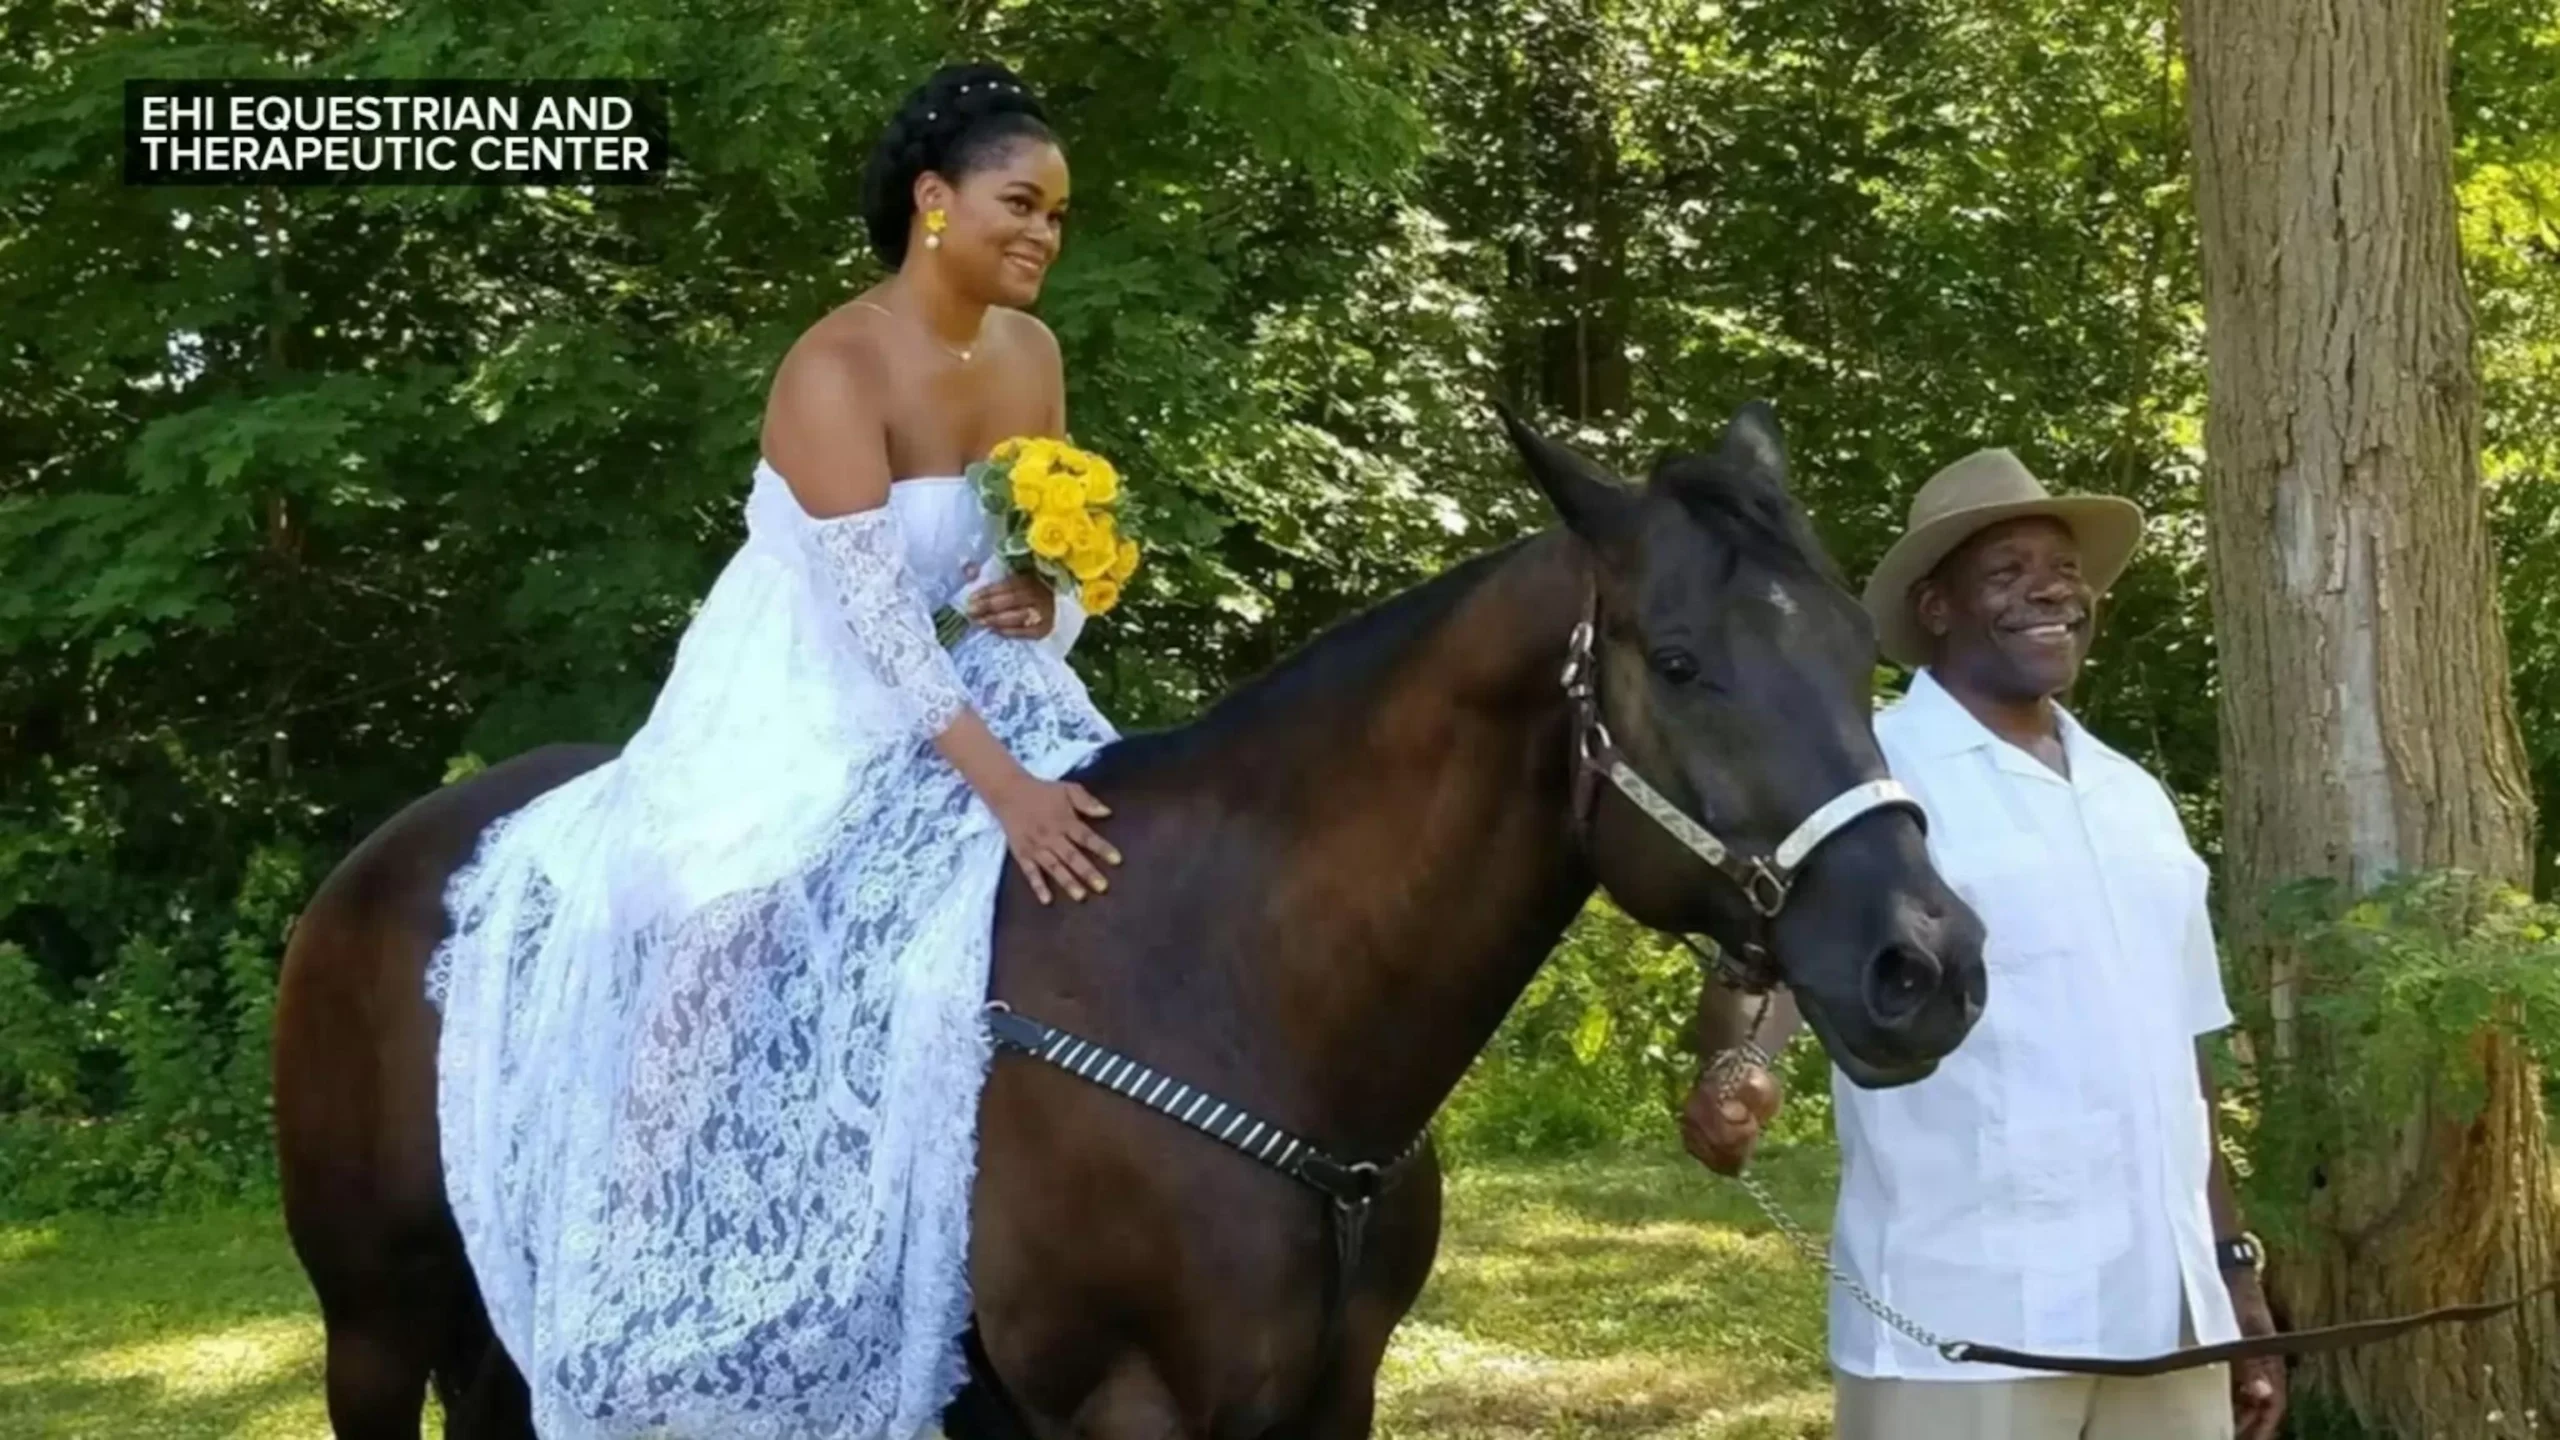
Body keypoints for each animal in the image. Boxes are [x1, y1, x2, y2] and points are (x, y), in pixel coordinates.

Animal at [272, 399, 1987, 1439]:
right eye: (1681, 661)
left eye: (1857, 651)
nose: (1926, 965)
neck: (1235, 987)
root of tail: (374, 871)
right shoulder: (1130, 1407)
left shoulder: (1333, 1393)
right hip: (374, 1323)